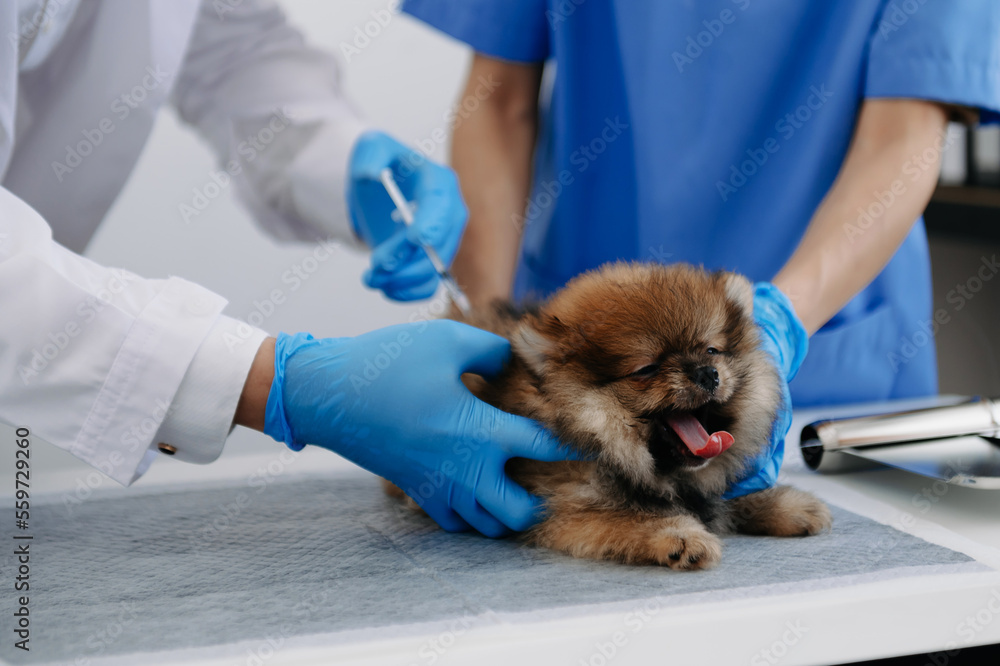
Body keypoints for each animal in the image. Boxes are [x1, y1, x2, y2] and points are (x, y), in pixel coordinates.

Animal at [386, 262, 832, 568]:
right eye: (647, 369)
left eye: (711, 350)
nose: (708, 374)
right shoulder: (564, 508)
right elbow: (629, 517)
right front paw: (680, 536)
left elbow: (722, 498)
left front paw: (784, 503)